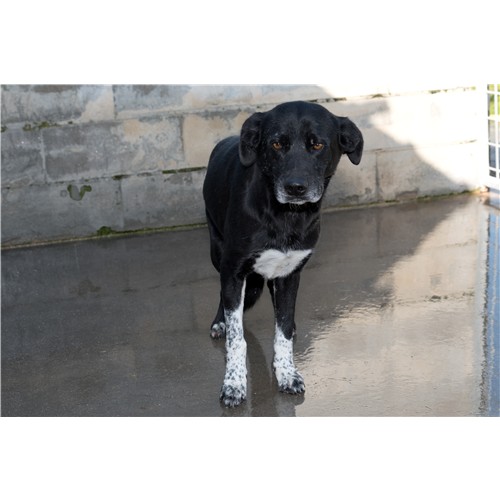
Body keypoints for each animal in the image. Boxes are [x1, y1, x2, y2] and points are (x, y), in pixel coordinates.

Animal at [203, 101, 363, 407]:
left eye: (317, 145)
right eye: (276, 143)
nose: (295, 188)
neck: (285, 216)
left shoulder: (290, 273)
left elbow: (283, 331)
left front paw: (287, 373)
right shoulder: (234, 269)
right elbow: (237, 339)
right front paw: (233, 384)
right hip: (217, 251)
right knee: (224, 298)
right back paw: (220, 322)